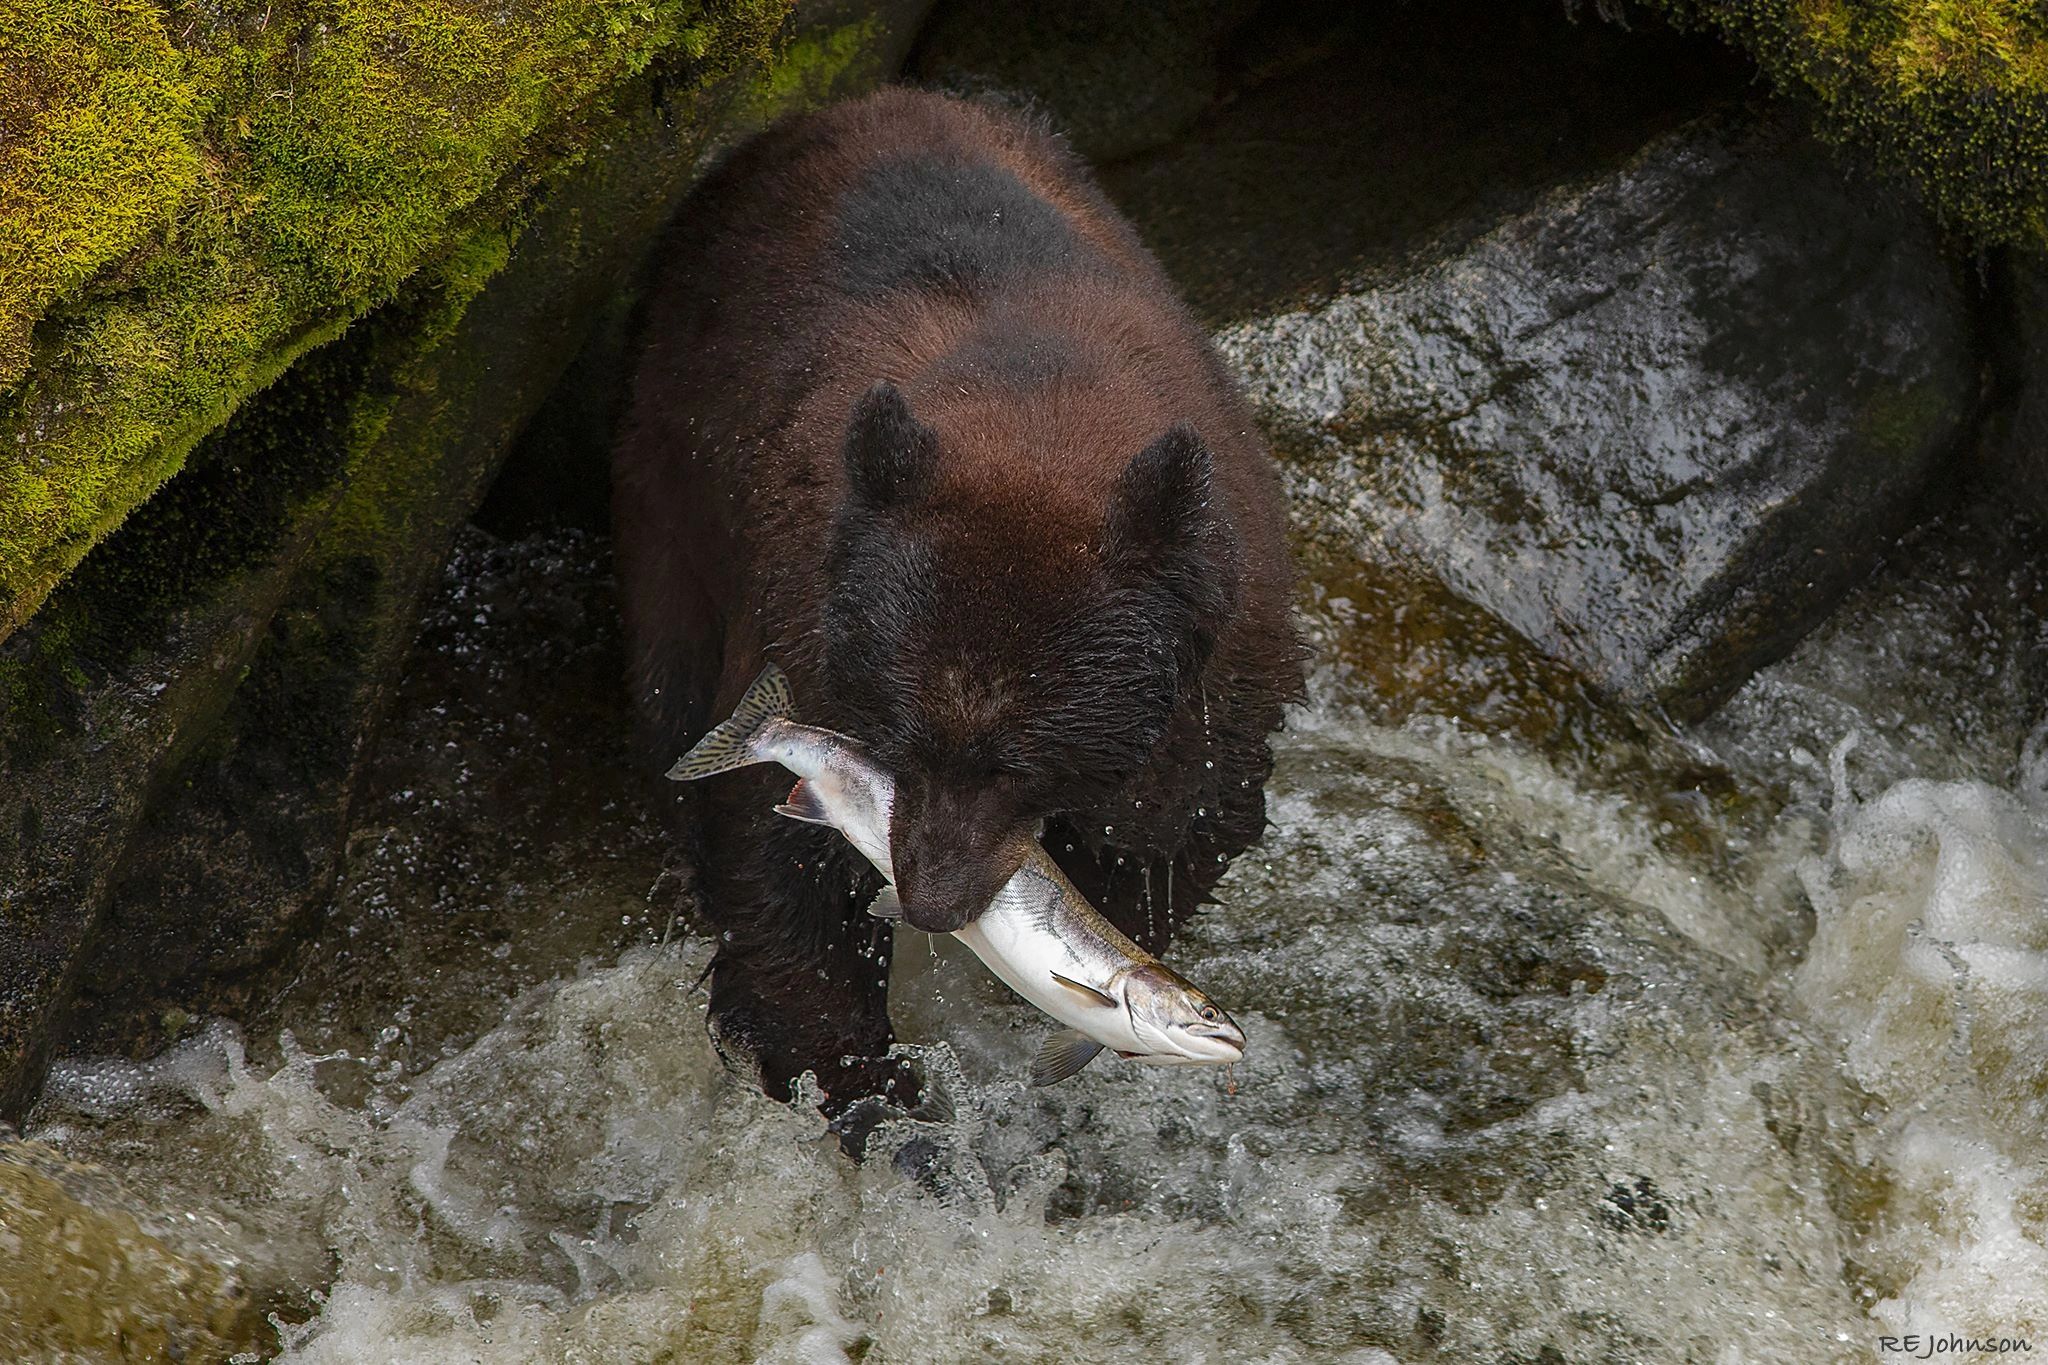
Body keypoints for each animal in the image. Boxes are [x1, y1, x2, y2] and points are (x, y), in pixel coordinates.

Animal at [614, 85, 1302, 1113]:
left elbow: (1174, 832)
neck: (1035, 414)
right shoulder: (803, 616)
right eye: (896, 737)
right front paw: (859, 1080)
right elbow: (775, 862)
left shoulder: (1207, 687)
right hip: (671, 479)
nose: (935, 901)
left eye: (1021, 762)